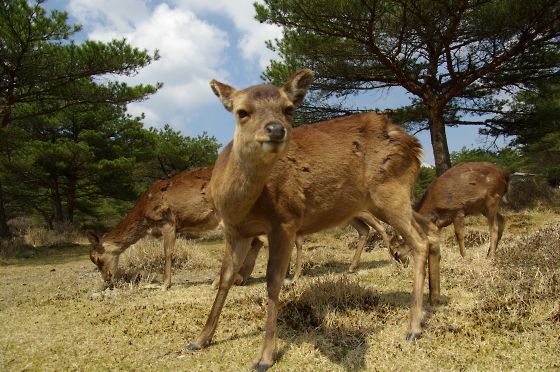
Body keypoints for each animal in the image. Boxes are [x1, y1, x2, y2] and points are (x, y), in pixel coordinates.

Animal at [86, 166, 264, 290]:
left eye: (97, 259)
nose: (107, 279)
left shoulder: (167, 221)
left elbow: (167, 252)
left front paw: (164, 285)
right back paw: (239, 278)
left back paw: (218, 282)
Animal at [187, 69, 442, 370]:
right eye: (242, 112)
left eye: (288, 109)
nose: (276, 130)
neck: (238, 205)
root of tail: (415, 146)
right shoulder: (234, 231)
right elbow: (225, 277)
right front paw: (200, 339)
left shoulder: (284, 221)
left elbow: (273, 281)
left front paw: (265, 356)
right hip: (387, 200)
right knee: (431, 229)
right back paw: (435, 299)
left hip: (390, 191)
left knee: (419, 241)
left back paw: (413, 327)